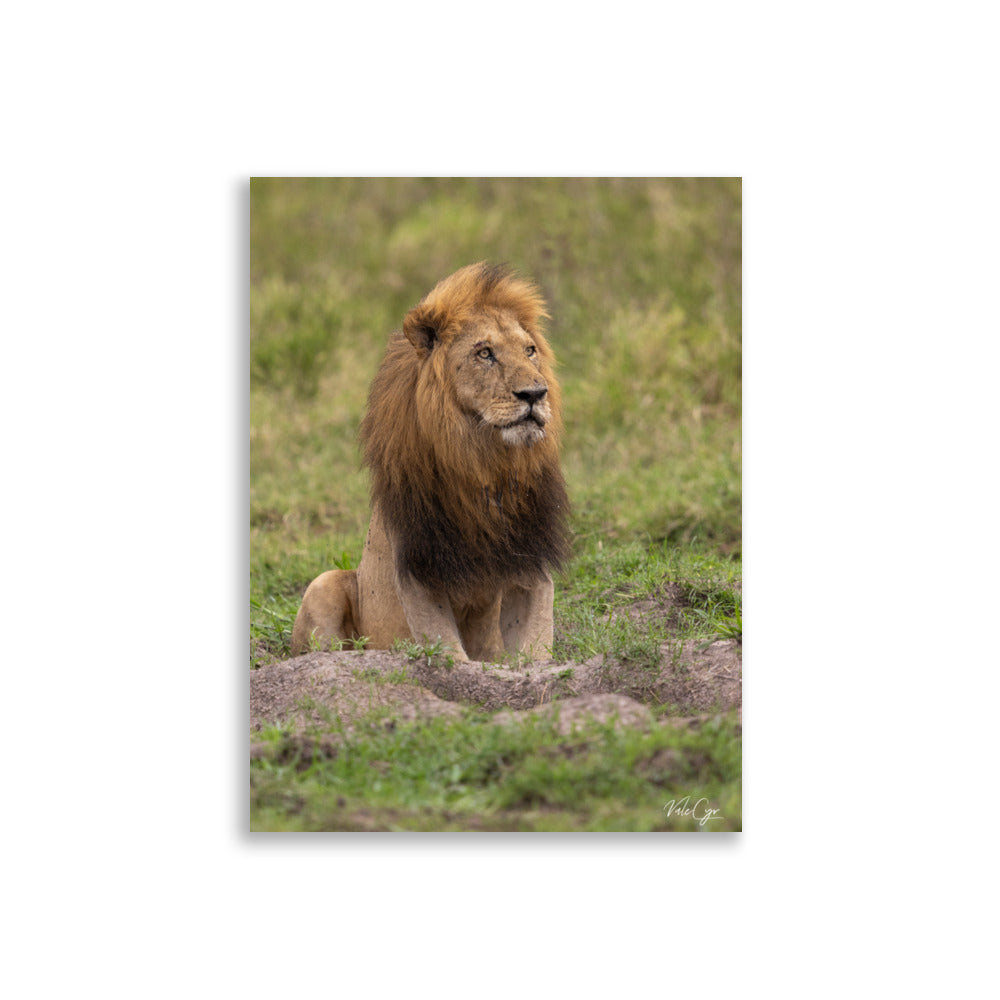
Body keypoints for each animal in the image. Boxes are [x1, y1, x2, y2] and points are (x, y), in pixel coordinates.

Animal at [290, 262, 572, 660]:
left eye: (530, 350)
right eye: (485, 353)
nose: (535, 393)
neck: (486, 468)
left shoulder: (531, 562)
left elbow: (534, 651)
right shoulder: (418, 570)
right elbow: (449, 652)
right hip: (325, 583)